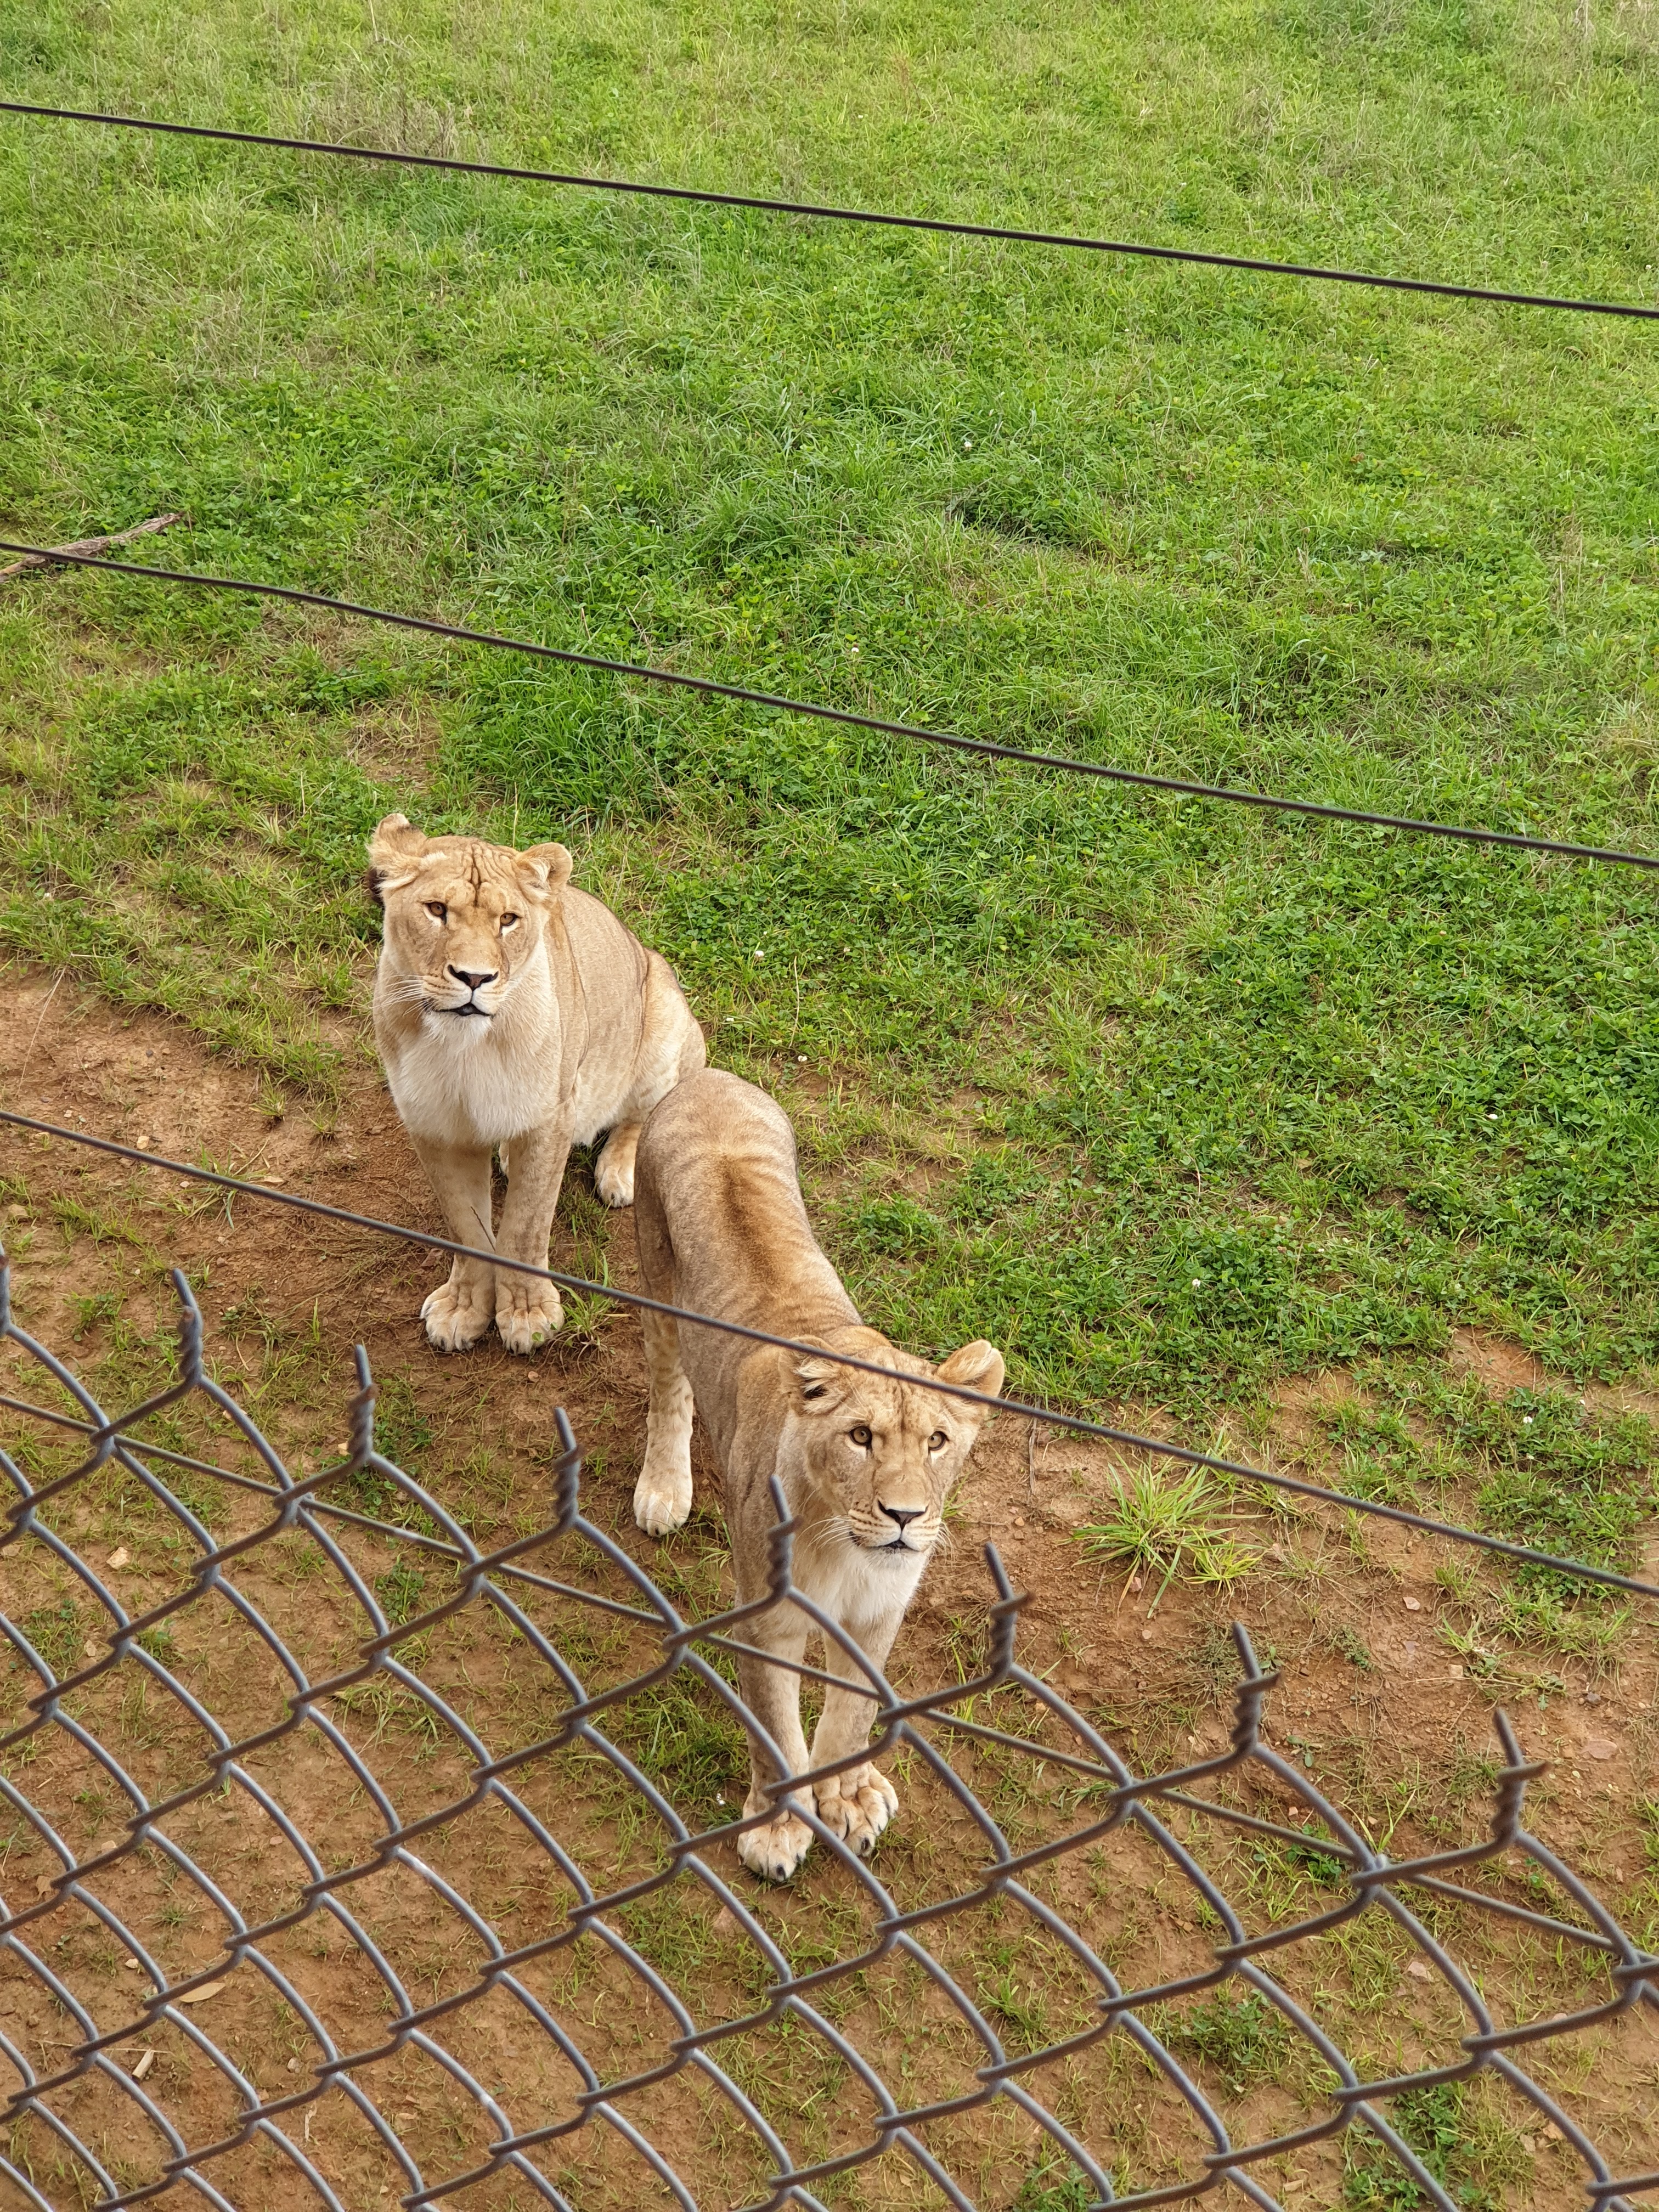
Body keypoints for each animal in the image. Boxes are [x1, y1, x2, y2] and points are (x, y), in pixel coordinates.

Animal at [367, 814, 705, 1355]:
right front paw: (463, 1309)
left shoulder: (549, 1118)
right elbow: (466, 1227)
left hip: (663, 1015)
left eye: (508, 920)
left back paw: (619, 1172)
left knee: (641, 1114)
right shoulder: (434, 1124)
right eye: (437, 910)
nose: (474, 978)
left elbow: (525, 1226)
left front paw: (528, 1315)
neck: (462, 1047)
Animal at [631, 1068, 1004, 1881]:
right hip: (658, 1283)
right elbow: (777, 1728)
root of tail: (706, 1079)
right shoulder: (766, 1619)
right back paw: (664, 1487)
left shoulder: (879, 1613)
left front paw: (850, 1795)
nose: (904, 1517)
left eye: (937, 1442)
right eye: (860, 1437)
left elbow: (852, 1713)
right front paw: (777, 1830)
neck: (846, 1547)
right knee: (669, 1384)